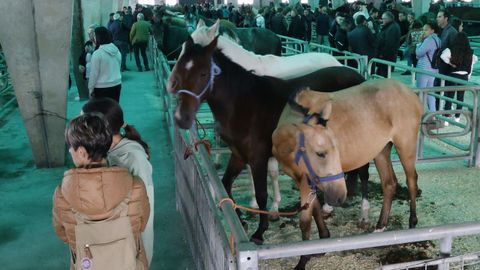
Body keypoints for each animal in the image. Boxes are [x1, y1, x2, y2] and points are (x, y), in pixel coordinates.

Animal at [167, 35, 366, 245]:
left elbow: (262, 194)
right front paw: (241, 220)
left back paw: (362, 216)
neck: (245, 103)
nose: (181, 117)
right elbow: (226, 184)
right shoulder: (239, 155)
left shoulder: (258, 158)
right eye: (179, 67)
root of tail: (360, 78)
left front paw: (259, 231)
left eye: (204, 73)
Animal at [272, 78, 422, 270]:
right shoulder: (307, 180)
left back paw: (412, 222)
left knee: (411, 180)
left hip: (406, 144)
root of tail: (409, 93)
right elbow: (314, 209)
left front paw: (303, 259)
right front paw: (322, 241)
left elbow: (305, 220)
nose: (339, 196)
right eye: (320, 153)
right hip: (381, 150)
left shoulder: (306, 182)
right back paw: (381, 225)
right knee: (389, 183)